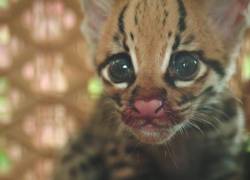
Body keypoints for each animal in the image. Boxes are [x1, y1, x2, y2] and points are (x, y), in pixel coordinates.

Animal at [53, 0, 250, 180]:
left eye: (186, 65)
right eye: (119, 68)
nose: (146, 106)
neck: (177, 145)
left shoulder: (225, 155)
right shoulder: (122, 153)